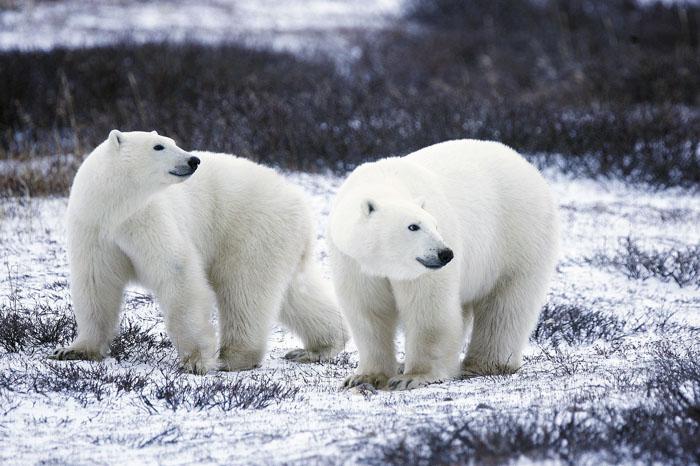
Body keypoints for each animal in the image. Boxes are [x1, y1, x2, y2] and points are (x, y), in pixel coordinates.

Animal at [53, 129, 348, 374]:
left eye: (172, 141)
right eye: (158, 146)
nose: (193, 160)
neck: (115, 209)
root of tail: (300, 201)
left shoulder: (148, 219)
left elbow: (178, 273)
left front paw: (195, 361)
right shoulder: (93, 228)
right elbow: (96, 284)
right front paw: (74, 350)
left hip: (252, 229)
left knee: (243, 289)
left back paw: (233, 357)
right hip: (281, 240)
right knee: (295, 292)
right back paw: (318, 347)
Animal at [330, 138, 560, 390]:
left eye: (435, 225)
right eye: (413, 226)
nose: (445, 254)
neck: (384, 180)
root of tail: (527, 165)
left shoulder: (423, 271)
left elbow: (429, 309)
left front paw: (413, 376)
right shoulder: (353, 262)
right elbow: (368, 311)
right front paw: (364, 377)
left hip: (518, 237)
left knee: (506, 304)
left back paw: (484, 364)